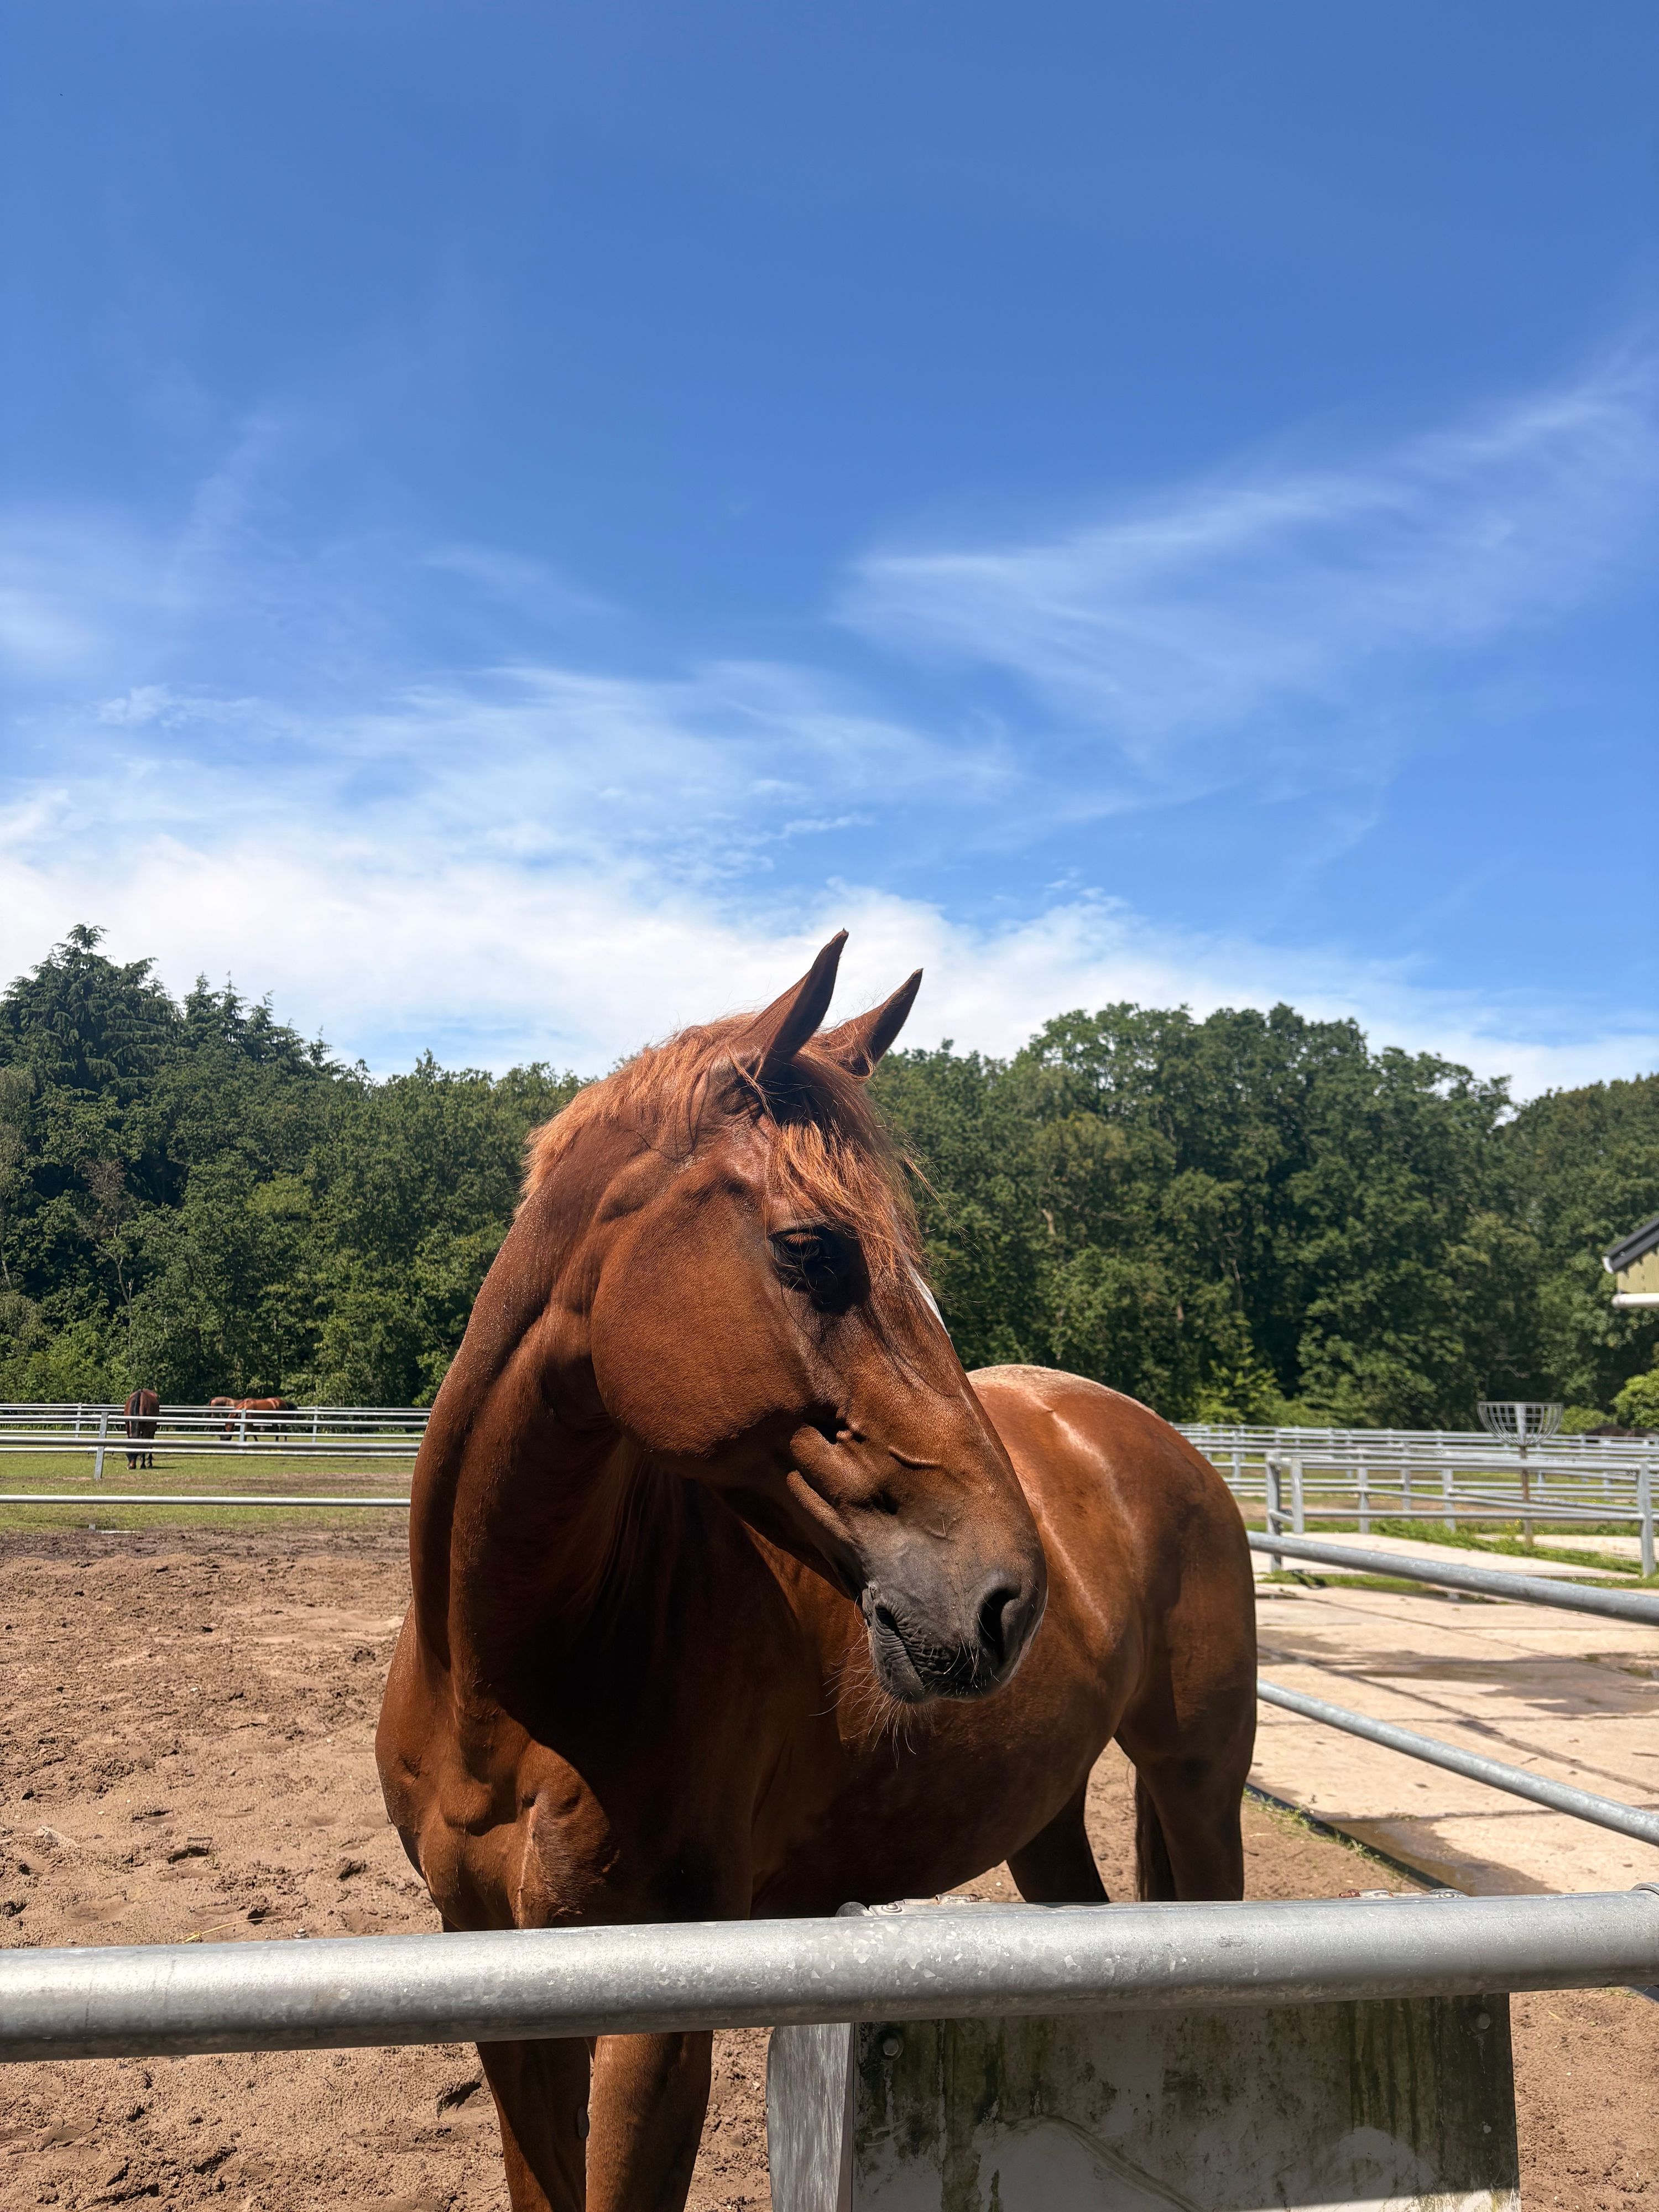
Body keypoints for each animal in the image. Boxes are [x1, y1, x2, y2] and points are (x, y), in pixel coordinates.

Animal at [123, 1387, 159, 1471]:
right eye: (128, 1454)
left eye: (137, 1453)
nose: (132, 1466)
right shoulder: (127, 1426)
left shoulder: (146, 1430)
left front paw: (143, 1465)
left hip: (152, 1430)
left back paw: (149, 1463)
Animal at [376, 933, 1257, 2212]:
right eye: (813, 1248)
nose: (1009, 1597)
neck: (511, 1680)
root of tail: (1157, 1442)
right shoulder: (497, 1980)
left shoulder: (657, 2022)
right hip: (1041, 1810)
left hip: (1199, 1786)